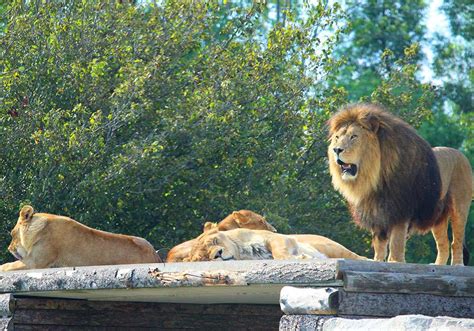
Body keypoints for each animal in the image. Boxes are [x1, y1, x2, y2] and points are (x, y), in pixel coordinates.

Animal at [328, 102, 472, 266]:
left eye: (354, 136)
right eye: (337, 137)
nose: (336, 150)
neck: (375, 178)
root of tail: (462, 155)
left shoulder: (401, 209)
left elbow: (396, 241)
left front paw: (395, 262)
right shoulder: (377, 211)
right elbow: (380, 243)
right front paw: (377, 261)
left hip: (459, 207)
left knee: (456, 241)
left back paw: (458, 264)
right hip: (437, 215)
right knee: (443, 243)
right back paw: (438, 265)